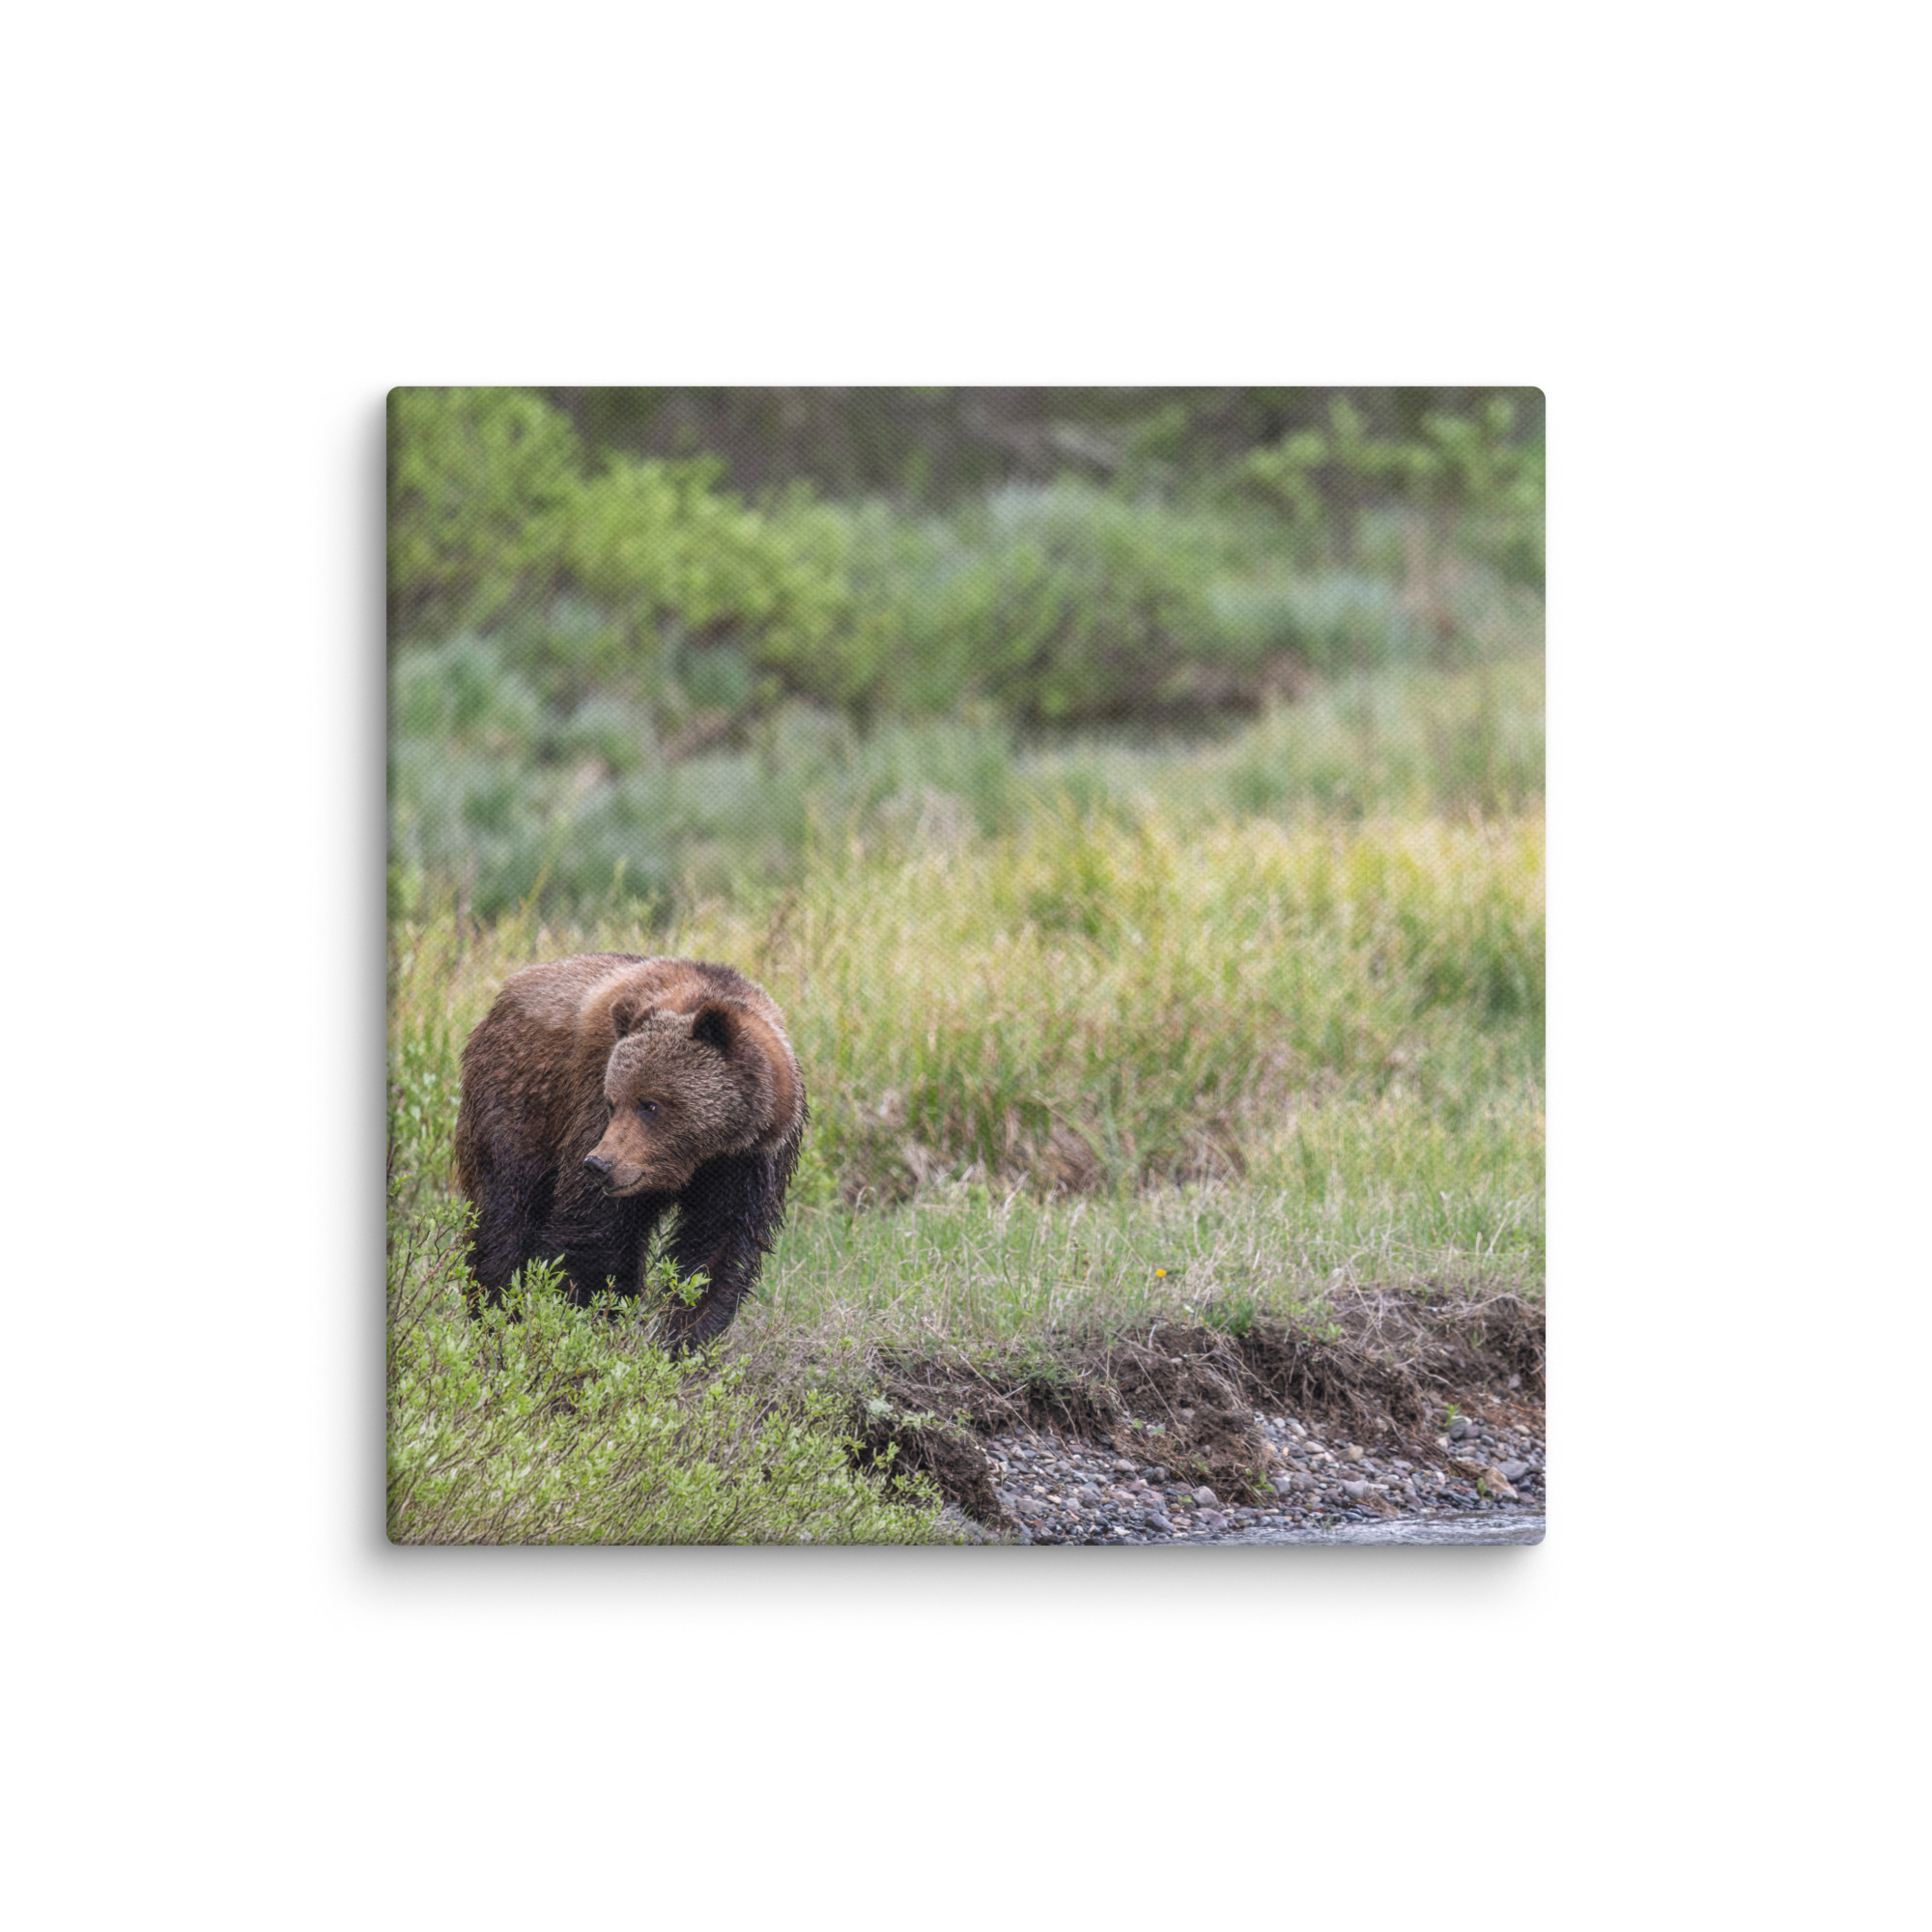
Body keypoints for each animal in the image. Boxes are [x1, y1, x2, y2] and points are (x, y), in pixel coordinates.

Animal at [452, 953, 806, 1350]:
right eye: (613, 1102)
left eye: (650, 1104)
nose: (599, 1164)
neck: (701, 1155)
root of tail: (505, 994)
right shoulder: (591, 1108)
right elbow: (595, 1235)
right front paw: (590, 1320)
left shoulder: (749, 1162)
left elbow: (717, 1249)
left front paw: (685, 1337)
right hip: (520, 1101)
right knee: (505, 1212)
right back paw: (495, 1315)